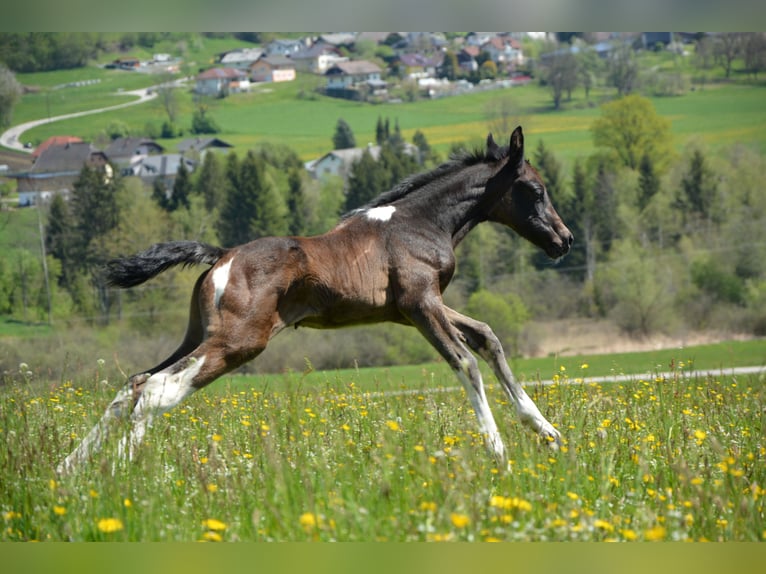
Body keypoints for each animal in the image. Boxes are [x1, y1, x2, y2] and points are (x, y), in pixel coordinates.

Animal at [57, 126, 573, 474]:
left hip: (198, 334)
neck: (421, 223)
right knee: (158, 389)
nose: (564, 240)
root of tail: (221, 256)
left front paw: (546, 432)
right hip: (238, 341)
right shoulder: (420, 303)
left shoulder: (411, 310)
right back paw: (114, 469)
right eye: (535, 189)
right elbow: (464, 361)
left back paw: (69, 470)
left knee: (134, 383)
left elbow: (487, 338)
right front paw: (498, 451)